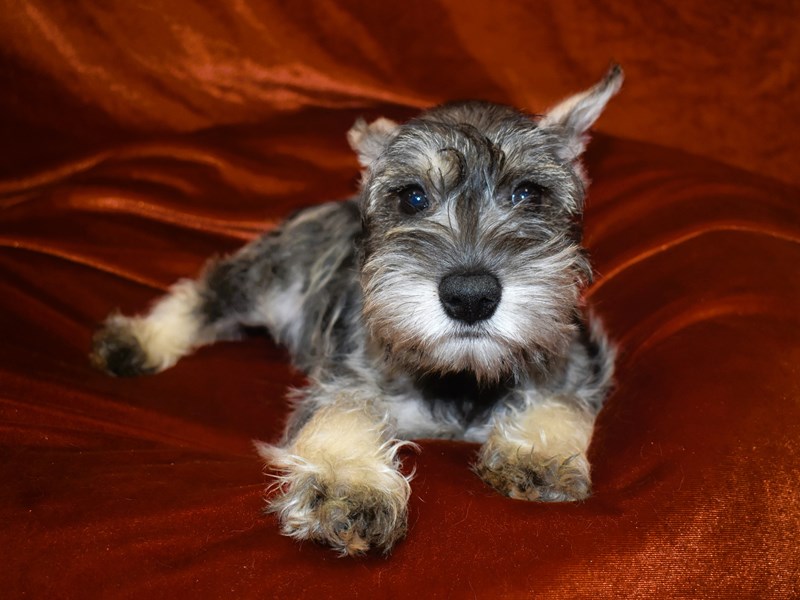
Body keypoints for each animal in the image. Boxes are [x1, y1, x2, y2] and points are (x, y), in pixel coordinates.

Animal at [90, 65, 620, 556]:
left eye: (528, 193)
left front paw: (536, 454)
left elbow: (560, 399)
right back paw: (136, 341)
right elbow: (344, 411)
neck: (460, 377)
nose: (470, 296)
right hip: (266, 279)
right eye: (412, 196)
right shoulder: (346, 371)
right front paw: (347, 484)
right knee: (207, 292)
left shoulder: (577, 357)